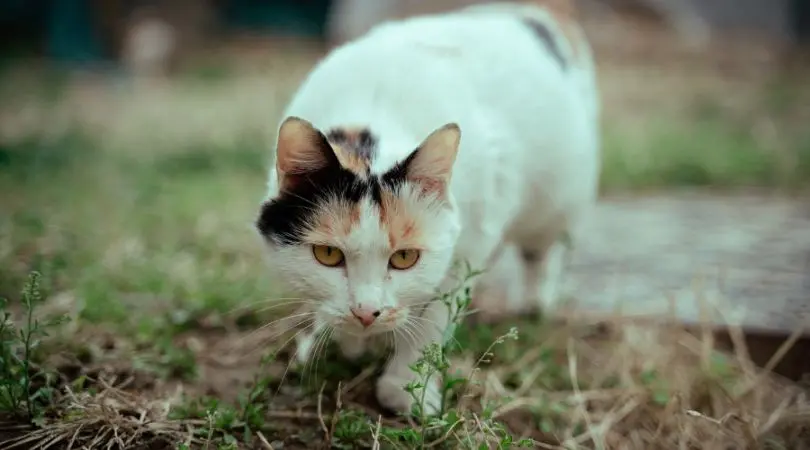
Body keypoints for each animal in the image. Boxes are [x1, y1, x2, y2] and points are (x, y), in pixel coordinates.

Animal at [256, 0, 596, 414]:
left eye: (405, 258)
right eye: (327, 254)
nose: (366, 313)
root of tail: (537, 11)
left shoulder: (467, 246)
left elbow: (431, 321)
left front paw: (405, 390)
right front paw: (342, 340)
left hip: (557, 199)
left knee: (542, 251)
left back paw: (533, 304)